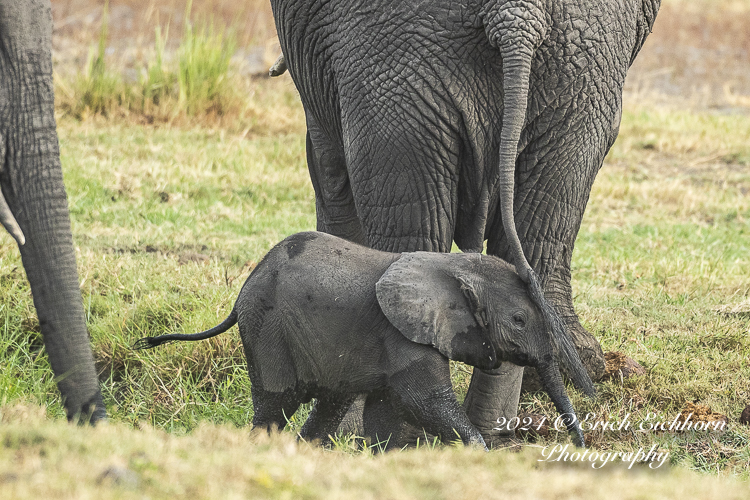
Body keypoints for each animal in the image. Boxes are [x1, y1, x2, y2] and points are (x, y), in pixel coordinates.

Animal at [135, 231, 588, 450]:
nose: (581, 446)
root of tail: (246, 285)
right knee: (275, 403)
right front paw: (477, 454)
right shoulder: (403, 338)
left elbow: (384, 412)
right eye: (518, 320)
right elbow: (427, 401)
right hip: (266, 327)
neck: (456, 265)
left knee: (330, 404)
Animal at [268, 0, 656, 446]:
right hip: (578, 77)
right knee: (535, 241)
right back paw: (489, 431)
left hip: (394, 72)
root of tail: (517, 15)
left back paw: (389, 435)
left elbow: (328, 172)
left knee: (410, 233)